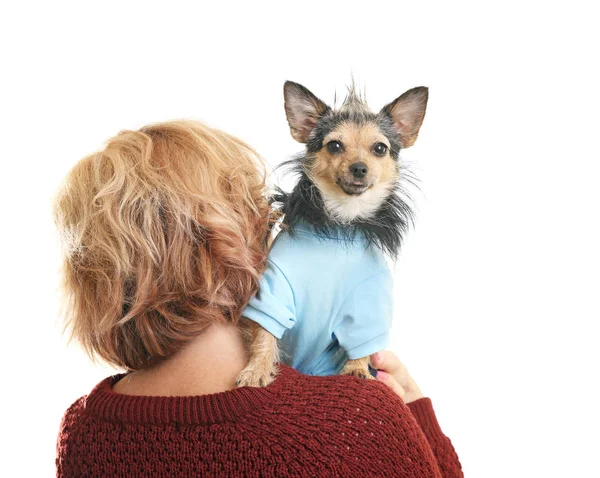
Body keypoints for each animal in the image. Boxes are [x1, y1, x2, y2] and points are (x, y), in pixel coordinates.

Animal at [237, 80, 428, 386]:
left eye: (380, 148)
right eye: (335, 145)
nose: (359, 168)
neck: (340, 224)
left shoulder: (367, 308)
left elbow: (362, 346)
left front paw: (358, 370)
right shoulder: (274, 292)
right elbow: (264, 335)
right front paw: (257, 369)